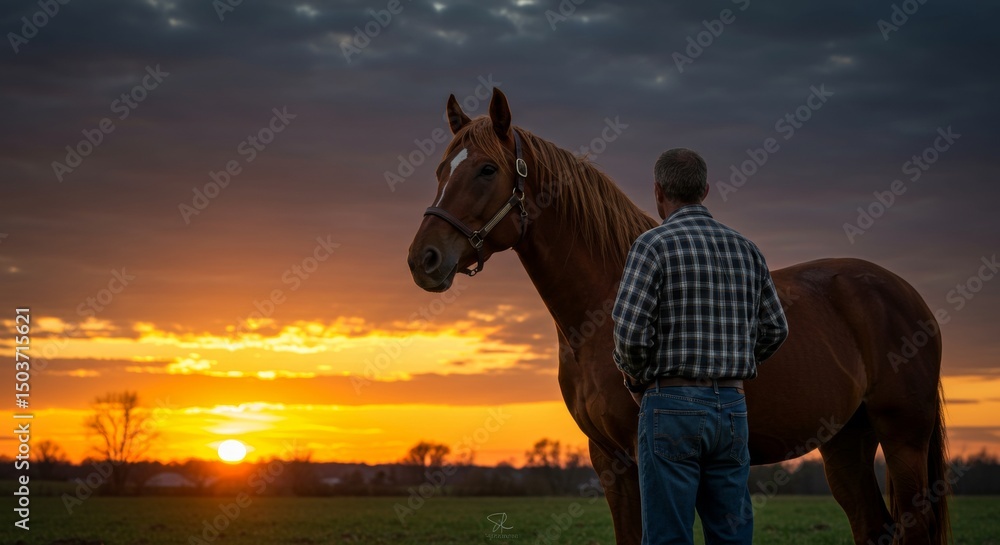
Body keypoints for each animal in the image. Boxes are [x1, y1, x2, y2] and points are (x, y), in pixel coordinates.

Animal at [406, 88, 949, 545]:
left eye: (486, 170)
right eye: (440, 170)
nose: (423, 259)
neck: (601, 308)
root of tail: (906, 293)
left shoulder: (643, 456)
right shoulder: (609, 460)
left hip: (903, 438)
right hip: (844, 442)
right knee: (872, 526)